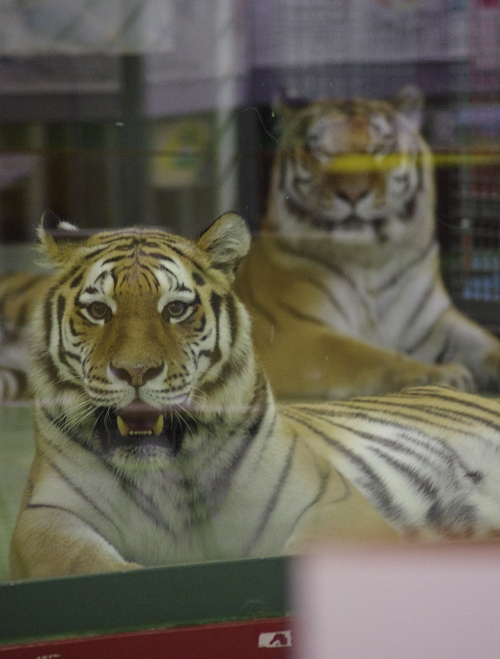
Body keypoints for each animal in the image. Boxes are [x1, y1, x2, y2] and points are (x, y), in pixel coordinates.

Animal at [7, 210, 500, 576]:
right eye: (98, 311)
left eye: (176, 309)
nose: (136, 371)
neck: (165, 468)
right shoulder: (45, 517)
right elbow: (82, 562)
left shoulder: (334, 504)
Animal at [234, 86, 500, 398]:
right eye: (322, 151)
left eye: (380, 148)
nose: (352, 193)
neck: (371, 259)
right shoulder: (293, 332)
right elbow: (368, 355)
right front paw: (443, 374)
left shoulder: (434, 322)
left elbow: (485, 343)